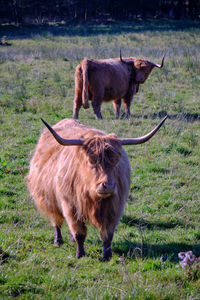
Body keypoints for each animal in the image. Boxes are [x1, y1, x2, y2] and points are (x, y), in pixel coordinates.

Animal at [26, 116, 167, 262]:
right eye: (91, 161)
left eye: (116, 161)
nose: (108, 186)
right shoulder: (70, 206)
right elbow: (79, 233)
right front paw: (80, 254)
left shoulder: (114, 208)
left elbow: (108, 234)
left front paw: (107, 255)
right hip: (50, 199)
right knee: (56, 221)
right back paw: (58, 241)